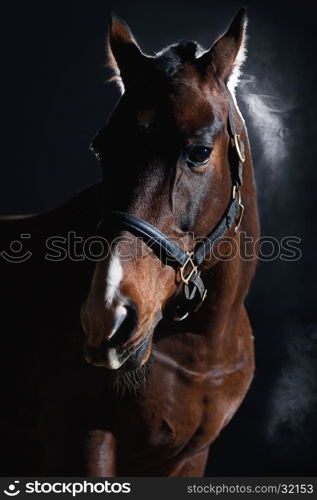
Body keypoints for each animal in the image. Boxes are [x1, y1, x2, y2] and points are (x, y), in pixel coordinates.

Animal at [0, 7, 256, 476]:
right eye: (102, 149)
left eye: (199, 152)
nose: (106, 317)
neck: (199, 346)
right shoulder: (83, 442)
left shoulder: (190, 458)